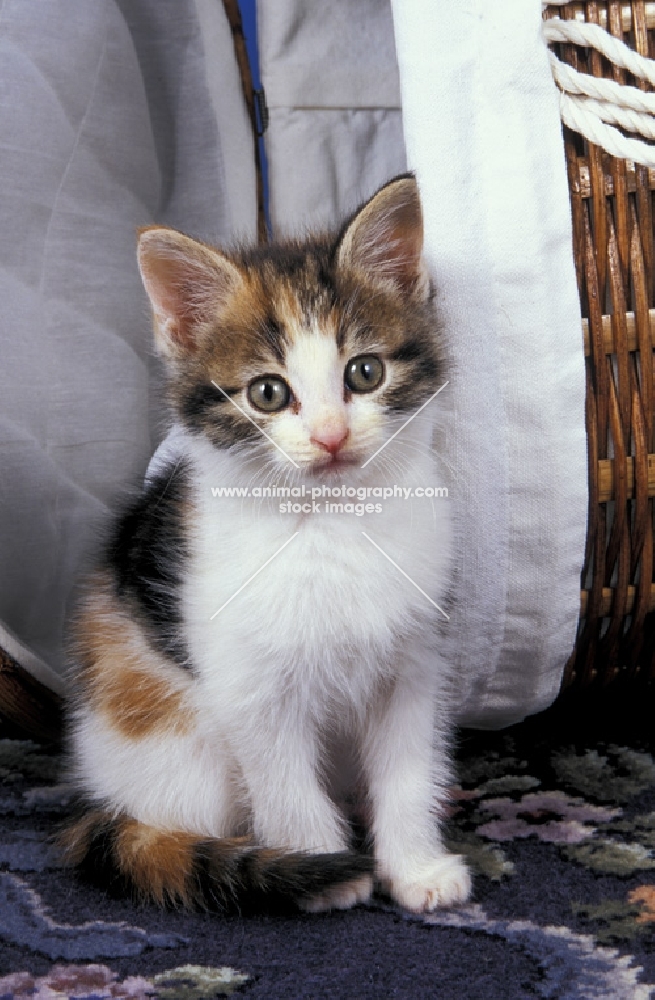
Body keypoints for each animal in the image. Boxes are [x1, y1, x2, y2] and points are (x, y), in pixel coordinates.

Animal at [61, 174, 472, 916]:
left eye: (364, 373)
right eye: (268, 392)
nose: (332, 436)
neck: (332, 521)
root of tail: (96, 796)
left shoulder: (413, 660)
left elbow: (407, 765)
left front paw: (416, 868)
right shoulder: (247, 684)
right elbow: (282, 780)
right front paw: (322, 869)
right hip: (168, 738)